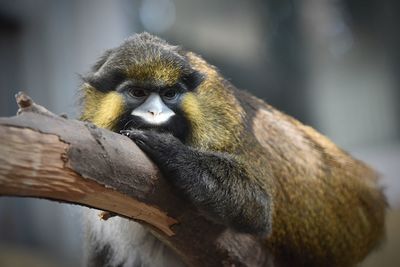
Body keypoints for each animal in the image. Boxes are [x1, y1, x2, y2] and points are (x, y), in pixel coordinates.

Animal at [79, 32, 386, 266]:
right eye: (138, 93)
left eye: (169, 94)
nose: (155, 112)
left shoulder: (221, 119)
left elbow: (257, 204)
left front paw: (170, 151)